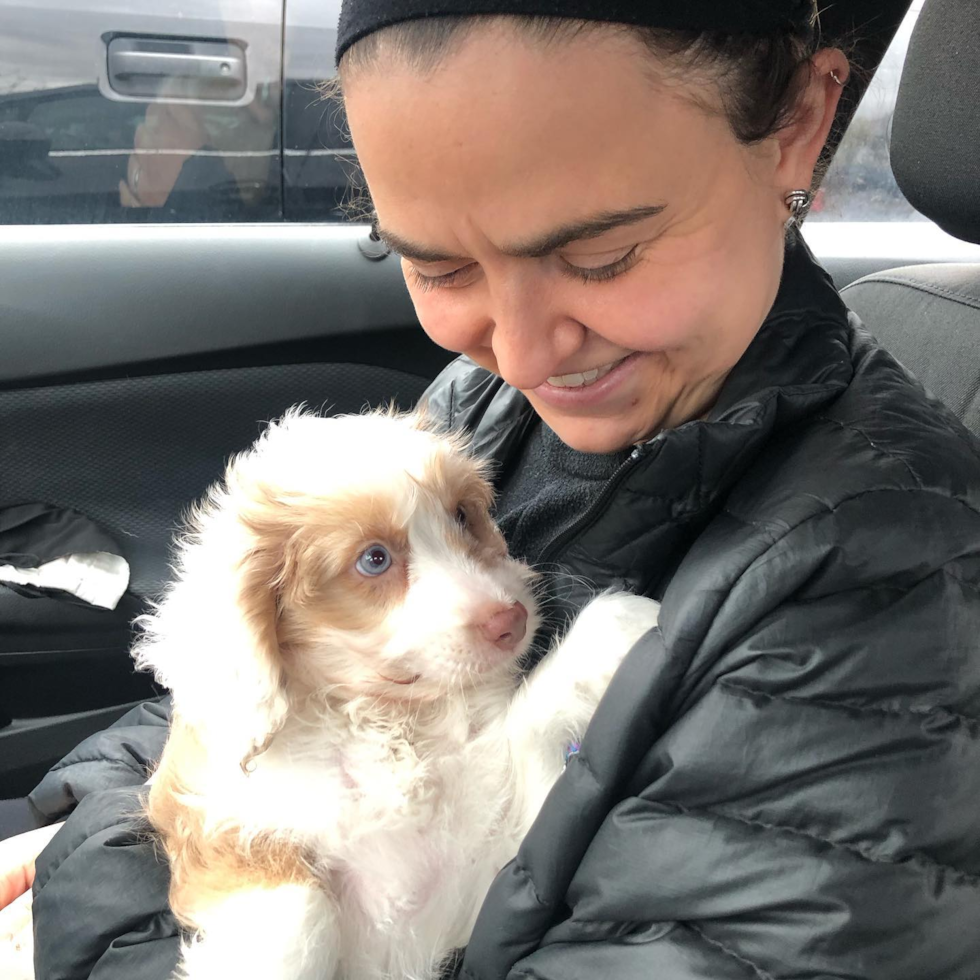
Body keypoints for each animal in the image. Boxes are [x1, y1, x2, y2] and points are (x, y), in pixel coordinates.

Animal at [136, 408, 660, 980]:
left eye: (461, 516)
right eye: (374, 559)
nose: (511, 621)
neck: (388, 721)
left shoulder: (485, 869)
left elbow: (530, 723)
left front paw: (635, 623)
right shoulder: (223, 832)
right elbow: (298, 916)